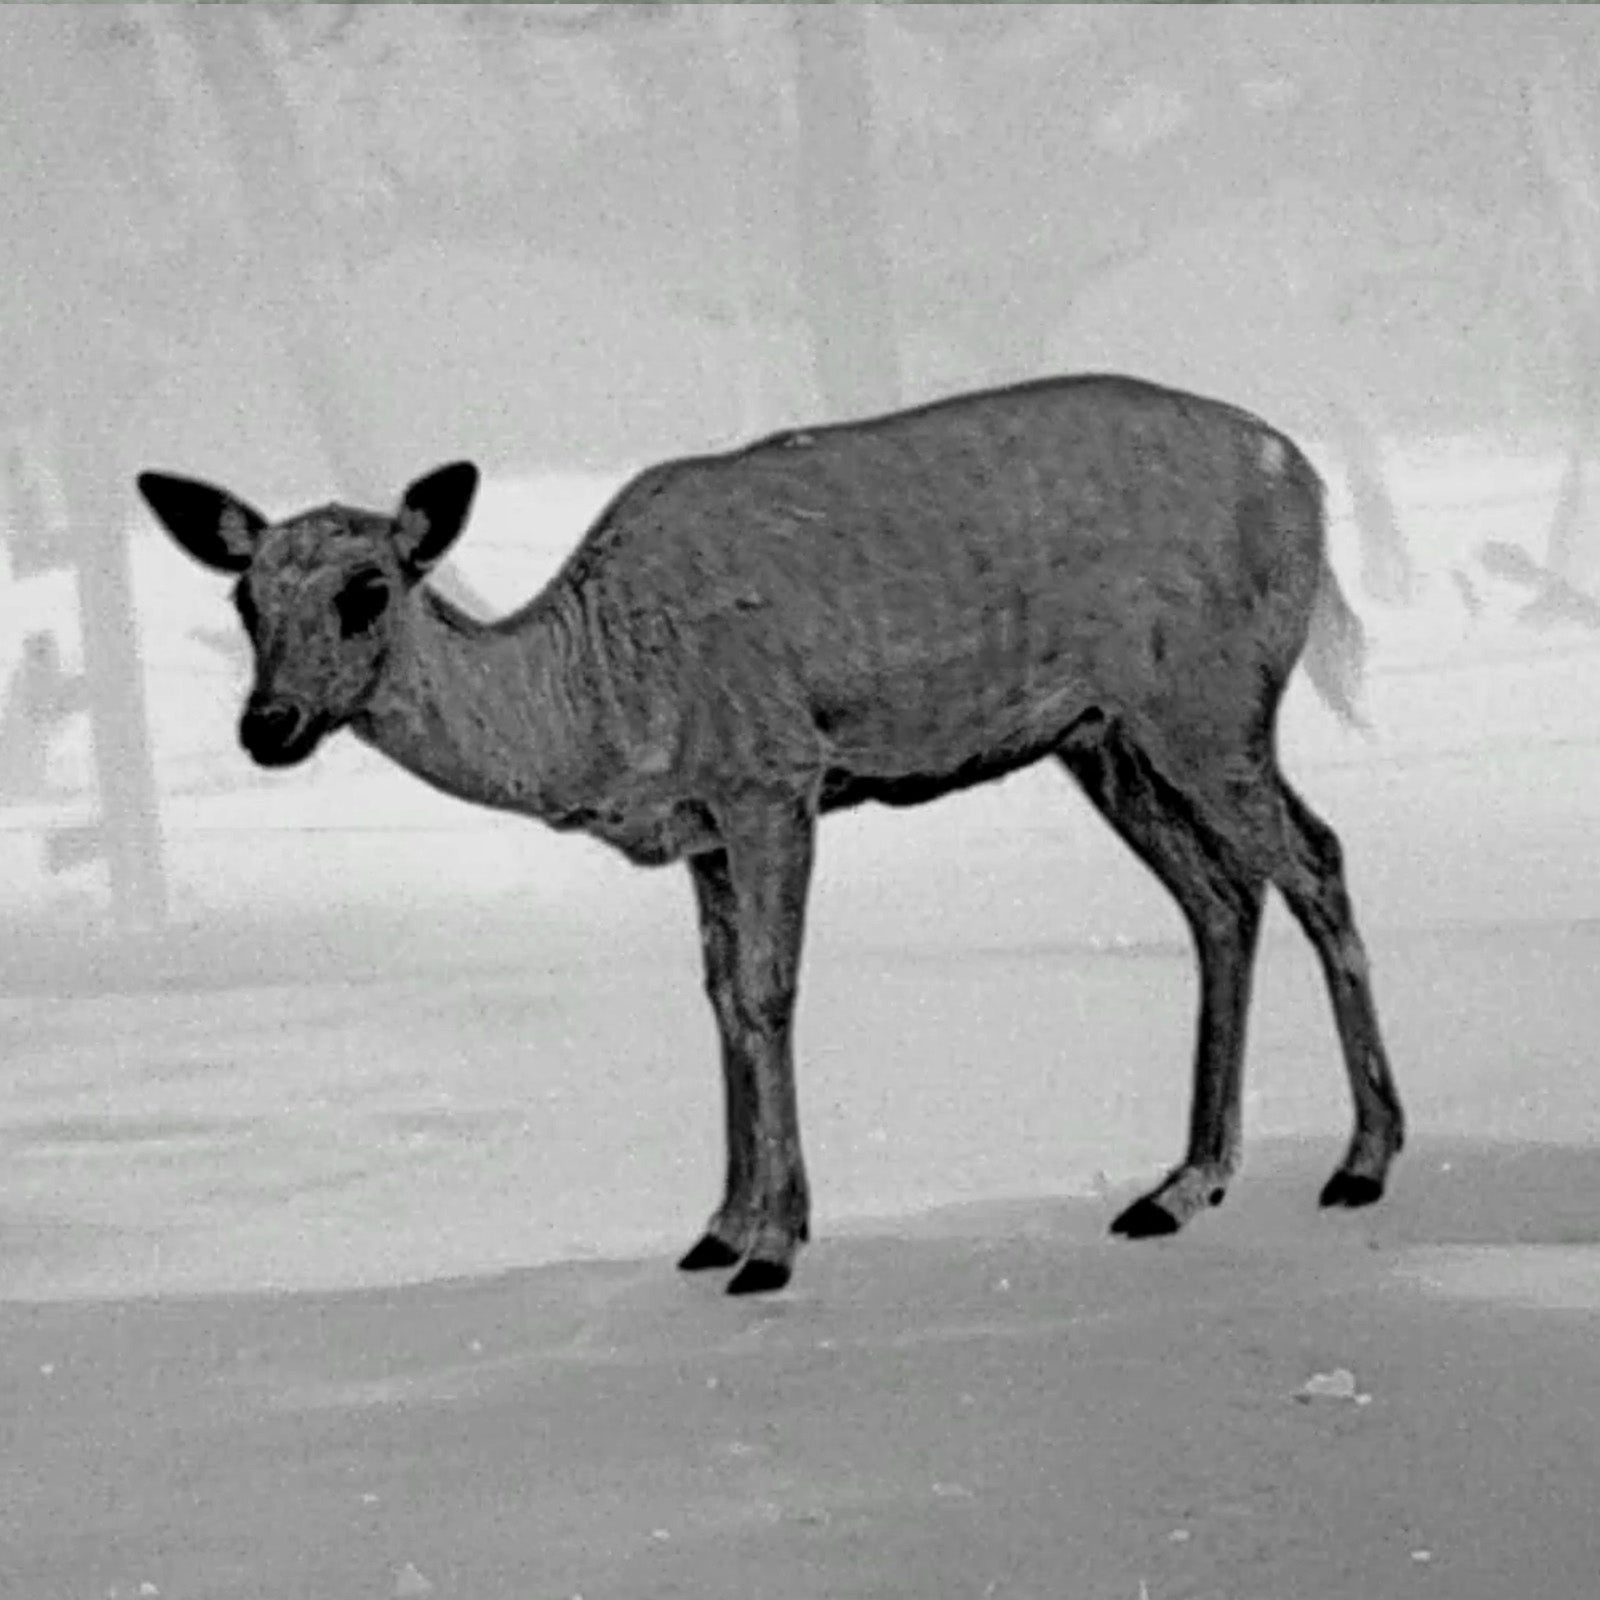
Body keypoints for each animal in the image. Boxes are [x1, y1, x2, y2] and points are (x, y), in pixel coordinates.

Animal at [144, 377, 1408, 1299]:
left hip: (1207, 698)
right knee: (1221, 895)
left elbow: (766, 991)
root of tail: (1307, 485)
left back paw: (1360, 1159)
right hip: (1106, 735)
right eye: (246, 600)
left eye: (367, 589)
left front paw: (773, 1243)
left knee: (1315, 856)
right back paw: (1181, 1185)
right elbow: (716, 996)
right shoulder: (707, 828)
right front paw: (716, 1224)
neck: (603, 707)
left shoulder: (773, 776)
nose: (267, 726)